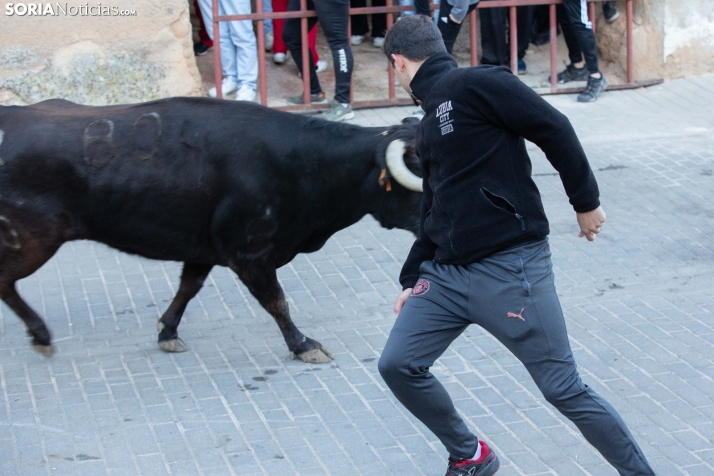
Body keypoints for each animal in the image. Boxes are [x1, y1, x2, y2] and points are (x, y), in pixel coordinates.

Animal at [0, 98, 422, 362]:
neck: (304, 163)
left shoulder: (204, 247)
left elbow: (189, 287)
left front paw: (167, 332)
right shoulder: (249, 252)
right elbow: (277, 301)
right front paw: (304, 345)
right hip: (33, 240)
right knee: (6, 282)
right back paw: (41, 335)